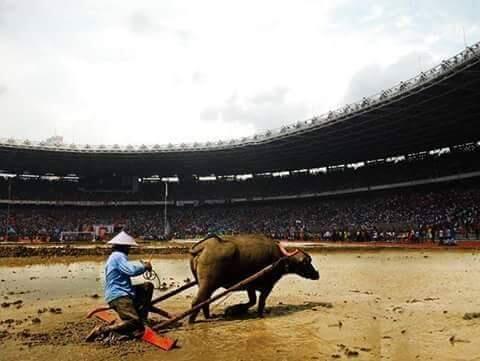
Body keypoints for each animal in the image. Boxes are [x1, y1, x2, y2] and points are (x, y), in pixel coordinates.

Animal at [188, 235, 318, 322]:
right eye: (306, 262)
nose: (317, 274)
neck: (280, 258)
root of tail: (203, 247)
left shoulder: (250, 286)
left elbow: (252, 300)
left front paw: (233, 310)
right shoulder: (268, 286)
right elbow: (260, 301)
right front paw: (260, 315)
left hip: (203, 284)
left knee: (205, 300)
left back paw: (208, 316)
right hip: (208, 283)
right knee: (197, 302)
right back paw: (191, 321)